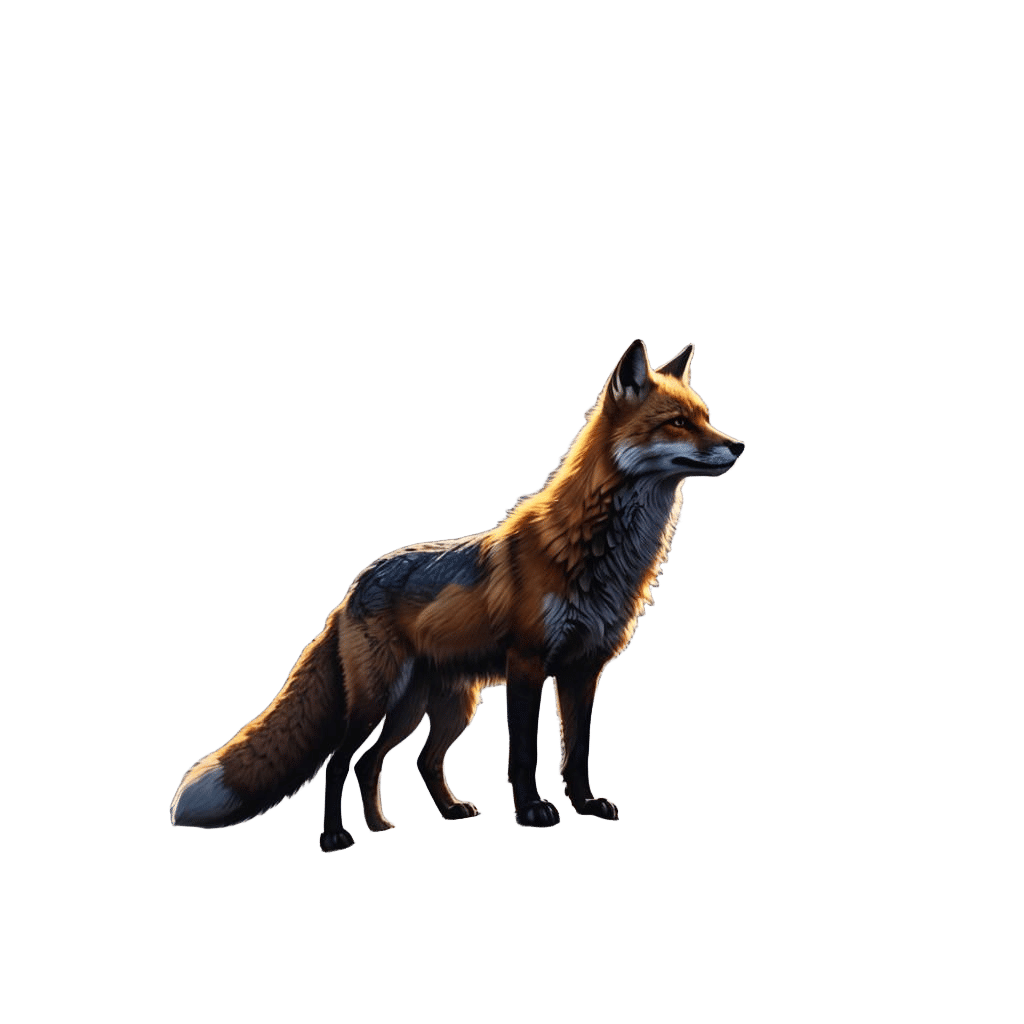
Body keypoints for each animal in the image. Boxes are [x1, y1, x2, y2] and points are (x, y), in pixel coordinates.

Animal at [170, 338, 745, 852]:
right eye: (677, 422)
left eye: (705, 417)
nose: (739, 445)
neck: (595, 551)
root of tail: (353, 588)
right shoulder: (528, 662)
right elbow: (525, 754)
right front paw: (532, 811)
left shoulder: (584, 668)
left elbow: (577, 752)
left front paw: (585, 804)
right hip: (377, 700)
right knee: (340, 762)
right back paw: (336, 837)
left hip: (438, 707)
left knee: (396, 762)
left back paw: (405, 821)